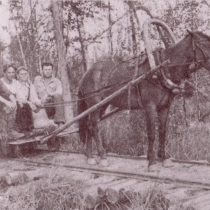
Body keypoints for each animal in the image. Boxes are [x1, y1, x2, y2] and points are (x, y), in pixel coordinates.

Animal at [77, 30, 210, 172]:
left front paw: (164, 157)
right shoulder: (150, 106)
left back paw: (90, 156)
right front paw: (151, 162)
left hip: (102, 105)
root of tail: (87, 73)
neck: (161, 69)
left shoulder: (164, 107)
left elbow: (162, 131)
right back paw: (102, 156)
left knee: (89, 126)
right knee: (94, 126)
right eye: (204, 44)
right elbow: (151, 133)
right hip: (95, 104)